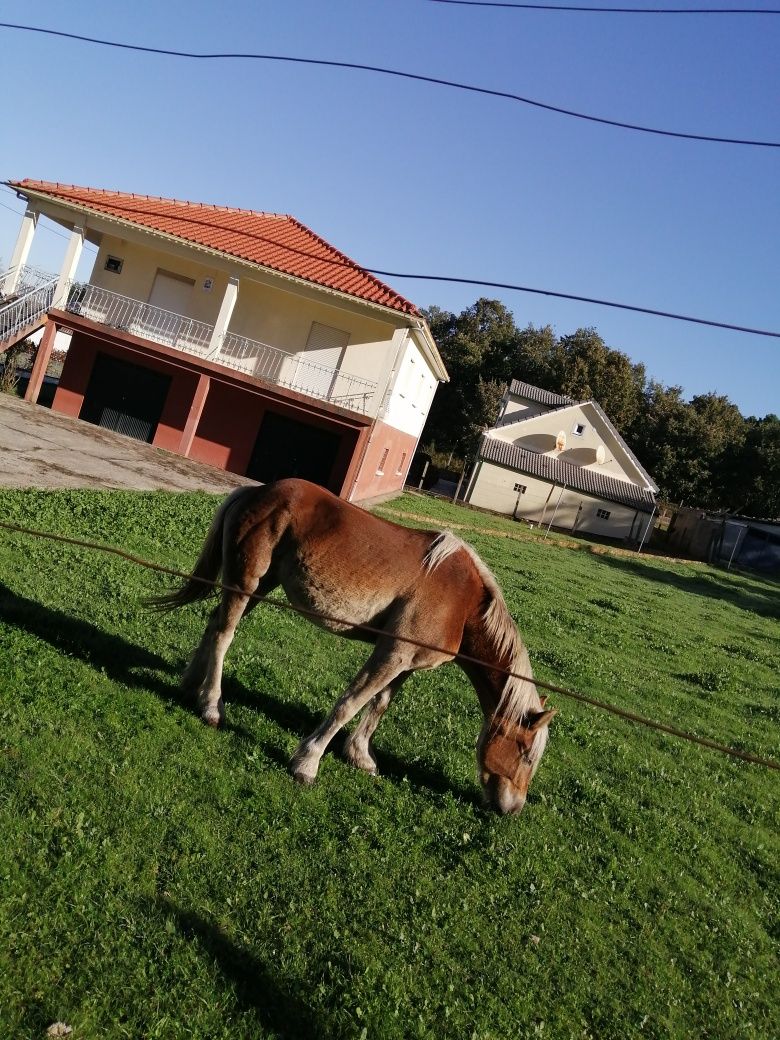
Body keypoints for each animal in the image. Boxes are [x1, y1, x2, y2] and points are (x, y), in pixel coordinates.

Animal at [150, 478, 557, 811]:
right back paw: (211, 706)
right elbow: (350, 703)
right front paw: (307, 763)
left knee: (213, 625)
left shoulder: (404, 662)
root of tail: (257, 491)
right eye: (525, 754)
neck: (463, 603)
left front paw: (360, 756)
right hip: (245, 582)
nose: (512, 808)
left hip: (259, 587)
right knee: (224, 635)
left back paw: (190, 685)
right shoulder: (391, 656)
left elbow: (378, 706)